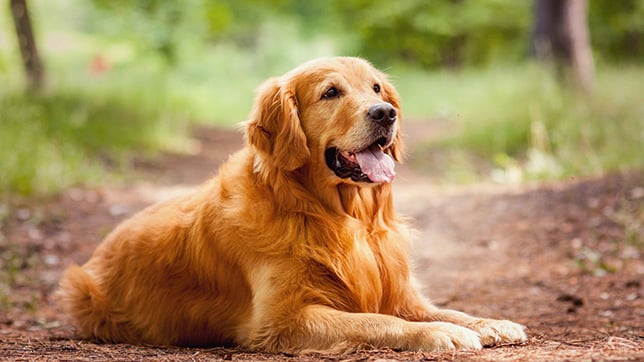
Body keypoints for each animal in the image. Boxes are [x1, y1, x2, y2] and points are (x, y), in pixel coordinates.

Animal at [57, 56, 524, 354]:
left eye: (376, 87)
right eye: (330, 92)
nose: (385, 113)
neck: (337, 215)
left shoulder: (401, 292)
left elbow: (446, 310)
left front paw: (489, 323)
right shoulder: (281, 320)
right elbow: (378, 321)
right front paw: (439, 334)